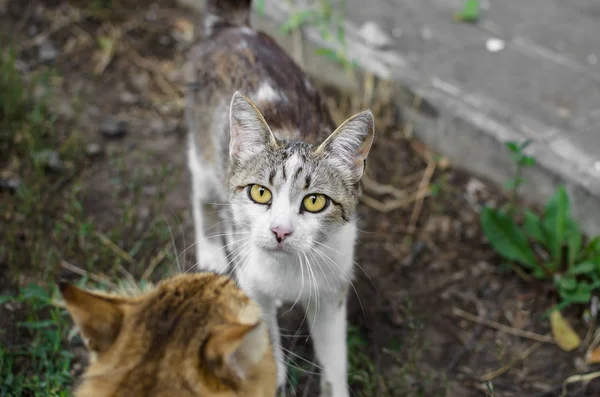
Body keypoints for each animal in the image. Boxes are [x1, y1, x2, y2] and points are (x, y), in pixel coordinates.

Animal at [185, 1, 376, 394]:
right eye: (260, 193)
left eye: (315, 201)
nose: (280, 231)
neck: (289, 269)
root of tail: (234, 29)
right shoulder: (252, 284)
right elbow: (264, 343)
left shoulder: (331, 293)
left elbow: (334, 358)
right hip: (202, 148)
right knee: (202, 192)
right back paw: (211, 251)